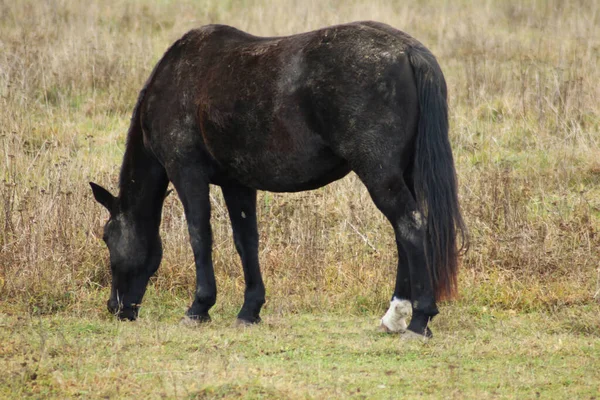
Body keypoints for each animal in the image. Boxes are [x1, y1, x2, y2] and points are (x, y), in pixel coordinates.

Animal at [89, 21, 466, 338]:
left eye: (107, 237)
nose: (115, 307)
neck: (175, 80)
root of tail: (407, 50)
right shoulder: (237, 183)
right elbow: (246, 241)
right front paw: (250, 309)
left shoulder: (187, 173)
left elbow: (200, 236)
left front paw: (199, 307)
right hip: (401, 174)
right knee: (406, 233)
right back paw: (395, 316)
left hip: (379, 174)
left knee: (410, 226)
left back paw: (418, 320)